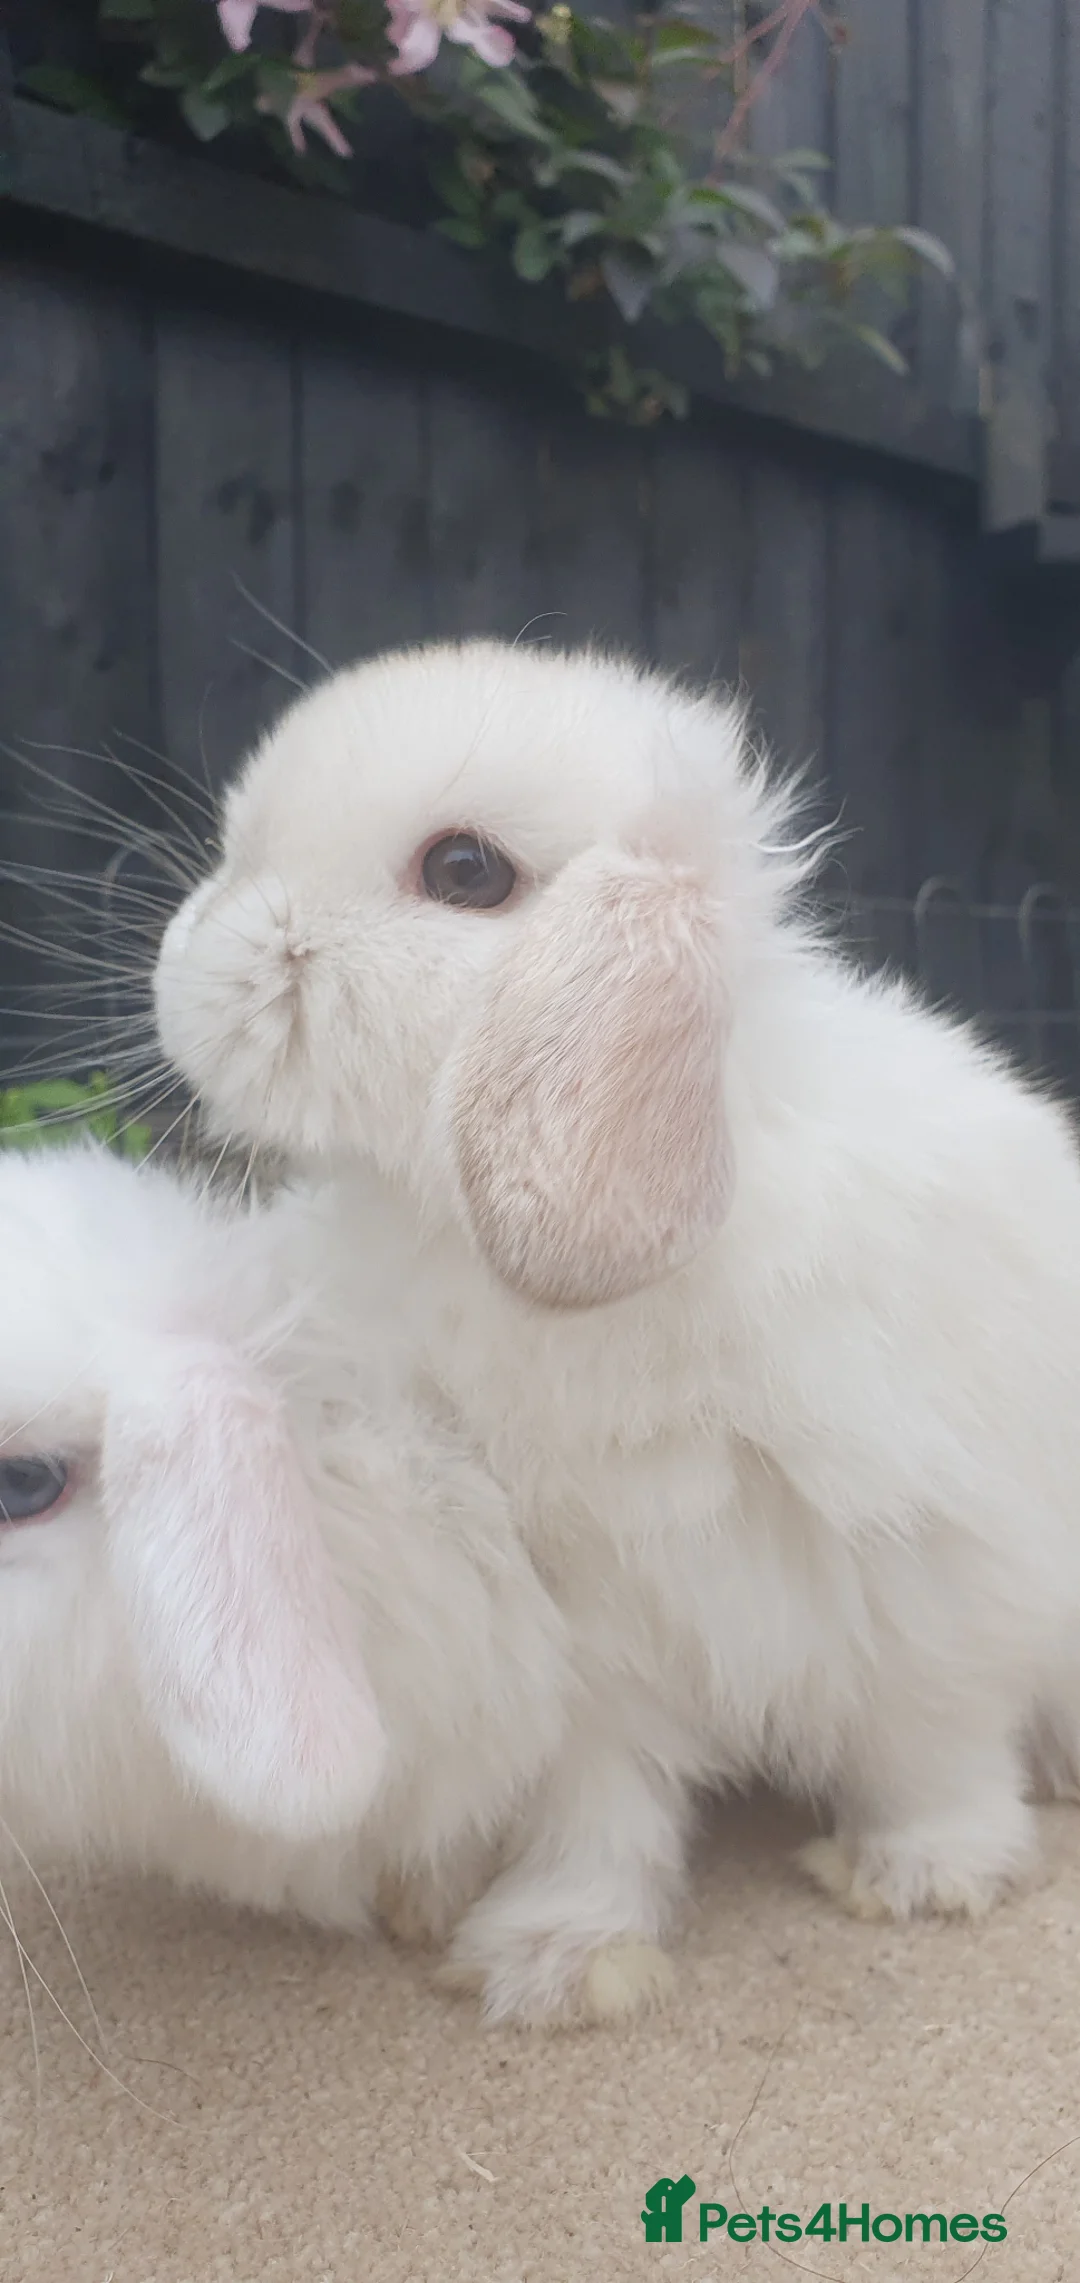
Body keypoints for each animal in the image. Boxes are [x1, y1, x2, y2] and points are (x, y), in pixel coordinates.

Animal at [153, 636, 1080, 2025]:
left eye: (465, 871)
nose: (194, 970)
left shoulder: (937, 1566)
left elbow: (930, 1741)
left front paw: (928, 1878)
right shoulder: (580, 1631)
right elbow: (596, 1809)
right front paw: (554, 1960)